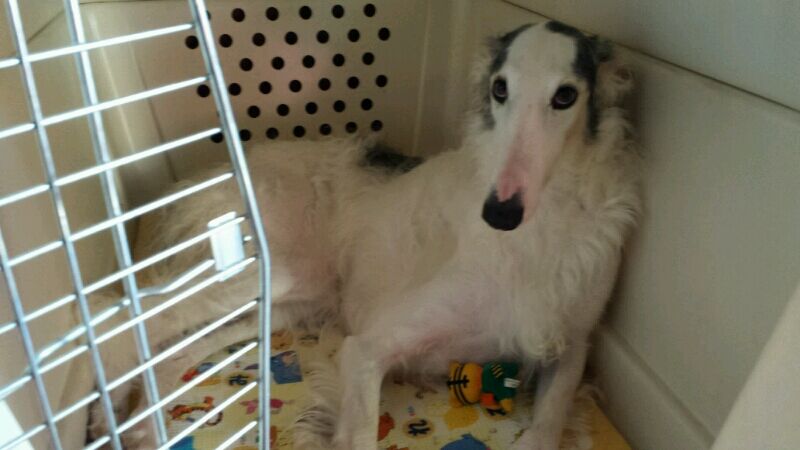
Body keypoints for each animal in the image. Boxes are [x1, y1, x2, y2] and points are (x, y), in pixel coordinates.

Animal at [88, 21, 640, 450]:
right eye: (499, 89)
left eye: (565, 95)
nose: (499, 212)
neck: (539, 233)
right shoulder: (367, 347)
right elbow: (358, 429)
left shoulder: (572, 342)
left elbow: (550, 420)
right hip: (254, 272)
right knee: (127, 318)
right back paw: (102, 412)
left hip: (288, 300)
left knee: (176, 344)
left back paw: (138, 425)